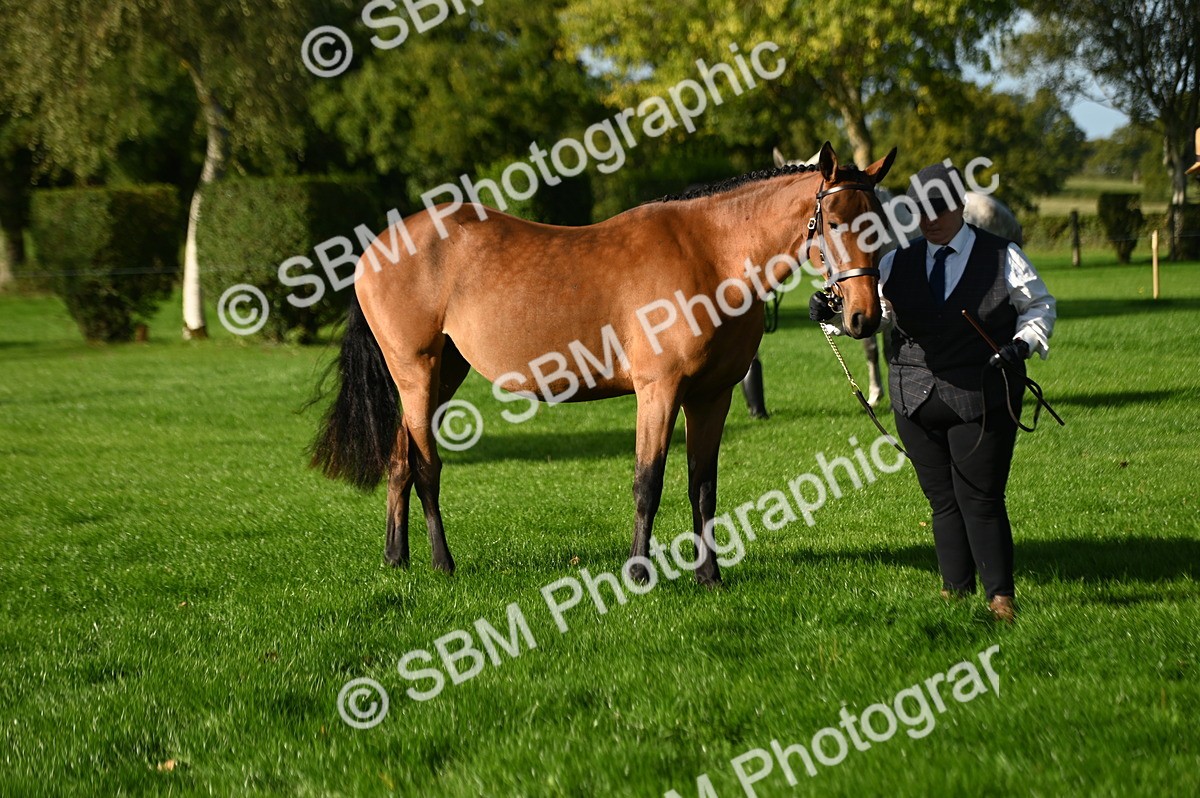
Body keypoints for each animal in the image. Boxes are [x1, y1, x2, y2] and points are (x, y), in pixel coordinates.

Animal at [311, 142, 896, 586]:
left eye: (880, 223)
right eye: (835, 221)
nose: (864, 317)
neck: (710, 255)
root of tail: (374, 250)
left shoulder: (712, 396)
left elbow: (702, 487)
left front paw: (710, 575)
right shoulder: (659, 391)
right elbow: (648, 481)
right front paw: (638, 573)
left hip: (442, 374)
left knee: (399, 459)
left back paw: (397, 558)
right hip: (417, 372)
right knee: (426, 466)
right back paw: (442, 563)